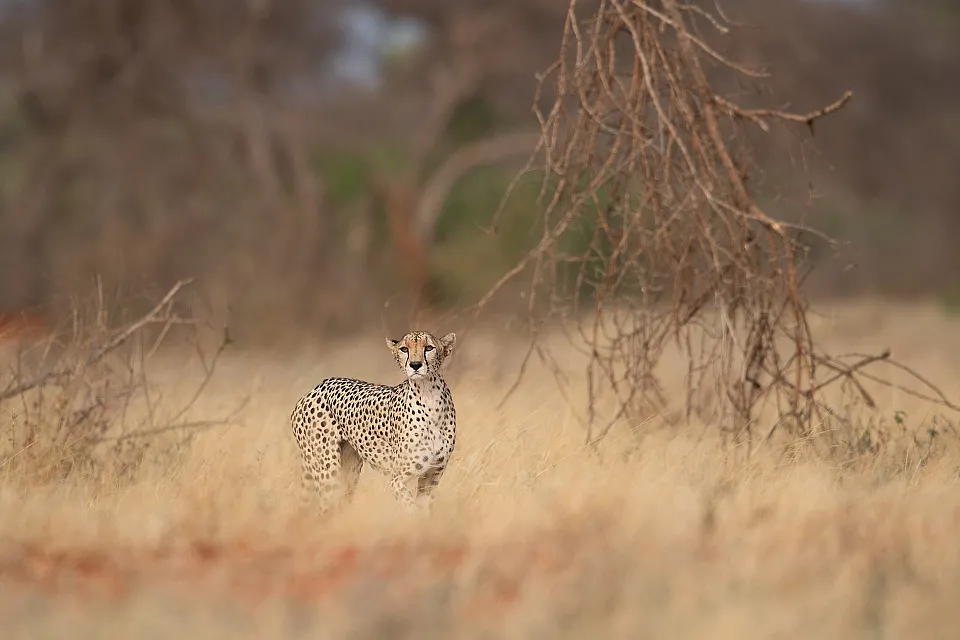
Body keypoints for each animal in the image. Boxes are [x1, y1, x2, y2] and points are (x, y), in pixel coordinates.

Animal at [290, 330, 458, 515]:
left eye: (429, 348)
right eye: (404, 349)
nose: (415, 365)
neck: (428, 393)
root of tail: (317, 387)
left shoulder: (431, 477)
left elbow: (424, 512)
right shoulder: (397, 479)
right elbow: (411, 509)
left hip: (350, 470)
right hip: (328, 471)